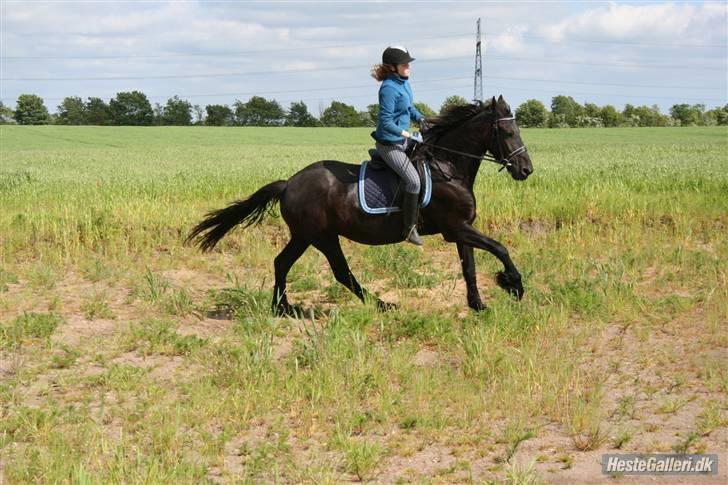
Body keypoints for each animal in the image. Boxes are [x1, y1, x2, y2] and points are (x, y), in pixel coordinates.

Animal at [185, 95, 532, 314]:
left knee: (281, 263)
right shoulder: (455, 227)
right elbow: (500, 248)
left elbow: (469, 267)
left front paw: (479, 305)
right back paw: (382, 304)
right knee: (341, 272)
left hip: (304, 236)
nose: (526, 170)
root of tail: (289, 183)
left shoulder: (462, 228)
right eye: (508, 131)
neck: (448, 167)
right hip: (323, 237)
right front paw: (514, 285)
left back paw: (283, 308)